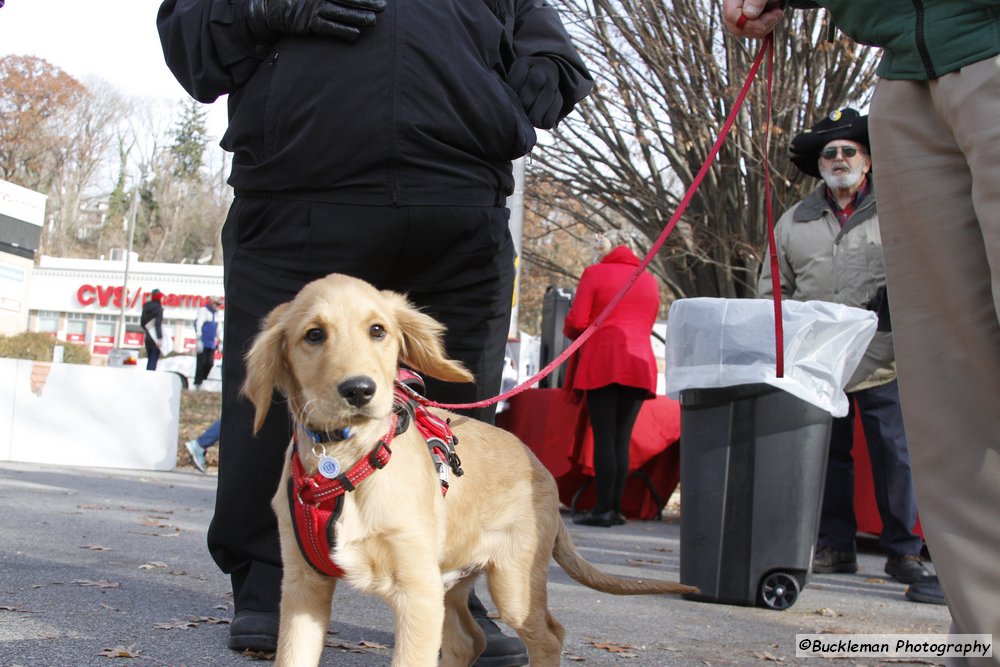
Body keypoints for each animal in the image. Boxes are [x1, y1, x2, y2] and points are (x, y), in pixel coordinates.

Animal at [243, 272, 696, 667]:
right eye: (314, 335)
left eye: (378, 330)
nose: (359, 390)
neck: (346, 462)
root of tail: (540, 468)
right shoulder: (303, 586)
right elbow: (292, 657)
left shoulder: (418, 591)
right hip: (453, 578)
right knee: (469, 640)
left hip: (512, 583)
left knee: (549, 636)